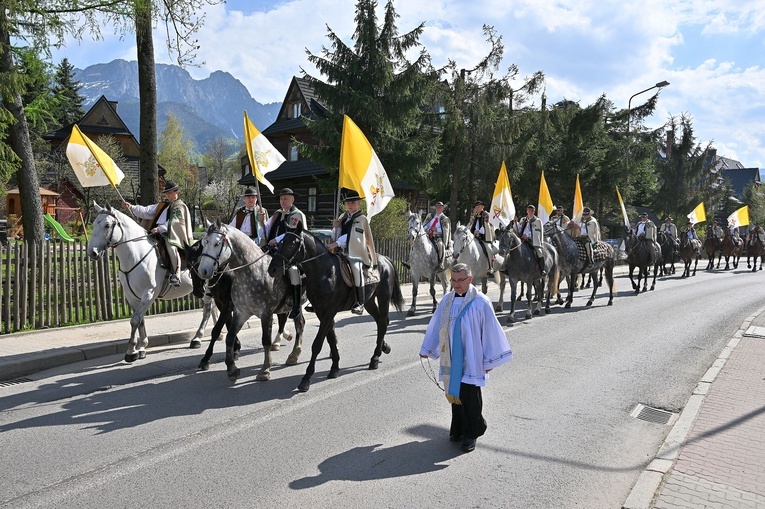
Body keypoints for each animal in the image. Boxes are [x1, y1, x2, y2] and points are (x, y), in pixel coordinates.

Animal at [86, 201, 215, 362]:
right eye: (94, 224)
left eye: (107, 225)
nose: (92, 252)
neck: (136, 255)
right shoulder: (132, 296)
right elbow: (140, 320)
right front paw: (141, 348)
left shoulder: (149, 293)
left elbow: (135, 320)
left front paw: (131, 351)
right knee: (212, 308)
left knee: (207, 310)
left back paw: (197, 338)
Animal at [197, 222, 304, 380]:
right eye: (204, 243)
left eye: (216, 243)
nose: (203, 271)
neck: (252, 272)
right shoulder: (241, 312)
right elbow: (229, 336)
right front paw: (231, 368)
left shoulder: (265, 314)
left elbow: (265, 340)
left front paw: (265, 369)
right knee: (296, 323)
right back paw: (292, 352)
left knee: (300, 325)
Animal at [268, 228, 402, 390]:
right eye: (280, 242)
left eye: (290, 244)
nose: (272, 269)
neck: (324, 272)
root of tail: (386, 259)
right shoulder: (321, 312)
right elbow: (331, 338)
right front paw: (334, 368)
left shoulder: (329, 312)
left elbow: (317, 344)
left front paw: (306, 378)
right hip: (369, 301)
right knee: (381, 321)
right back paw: (384, 347)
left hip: (383, 297)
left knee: (382, 322)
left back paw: (375, 358)